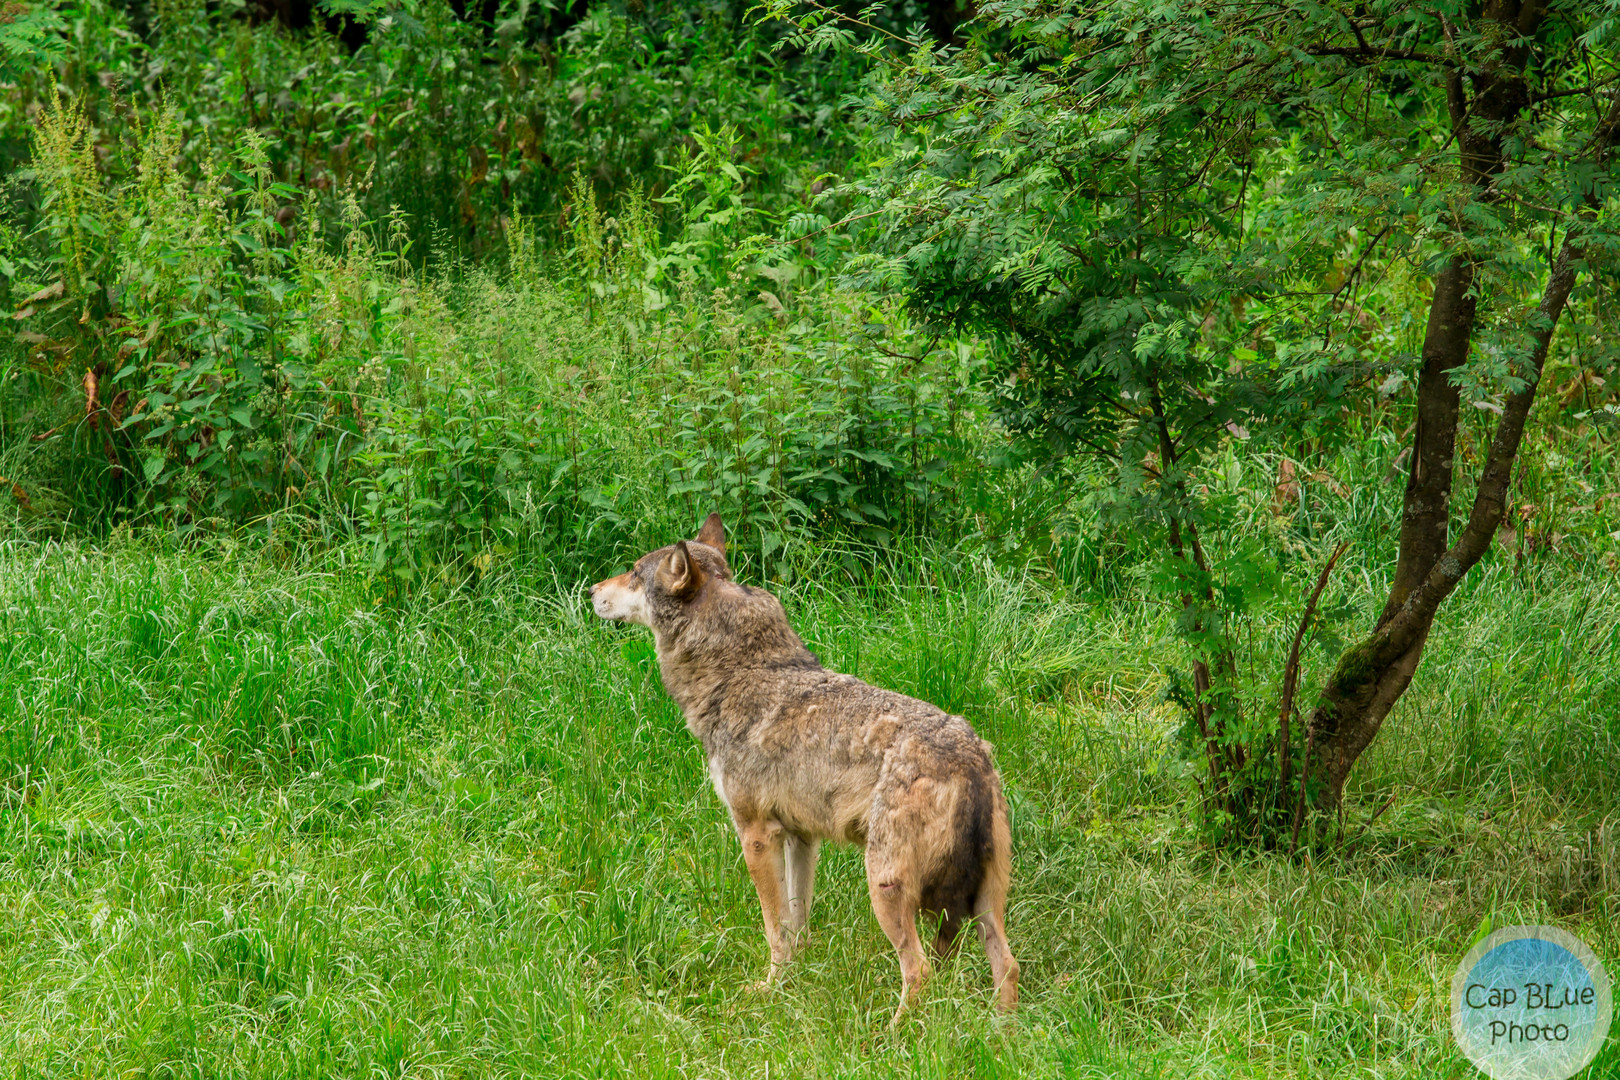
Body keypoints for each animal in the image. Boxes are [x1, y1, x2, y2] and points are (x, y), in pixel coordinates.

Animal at [589, 514, 1017, 1023]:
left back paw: (890, 1034)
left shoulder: (755, 835)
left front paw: (769, 989)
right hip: (986, 904)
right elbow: (798, 921)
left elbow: (775, 929)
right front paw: (797, 980)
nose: (591, 590)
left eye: (635, 572)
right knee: (1007, 966)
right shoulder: (800, 838)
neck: (738, 672)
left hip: (886, 889)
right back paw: (1003, 1032)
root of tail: (969, 758)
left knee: (919, 972)